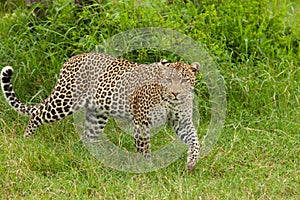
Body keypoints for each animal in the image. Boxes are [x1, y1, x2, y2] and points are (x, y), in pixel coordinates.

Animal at [1, 52, 202, 171]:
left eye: (184, 80)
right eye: (168, 80)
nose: (175, 93)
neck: (171, 102)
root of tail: (72, 58)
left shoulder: (182, 122)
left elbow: (195, 140)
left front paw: (191, 162)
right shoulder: (142, 122)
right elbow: (144, 148)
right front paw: (148, 167)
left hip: (97, 114)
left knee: (87, 136)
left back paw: (95, 158)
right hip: (64, 101)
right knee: (37, 113)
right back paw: (27, 140)